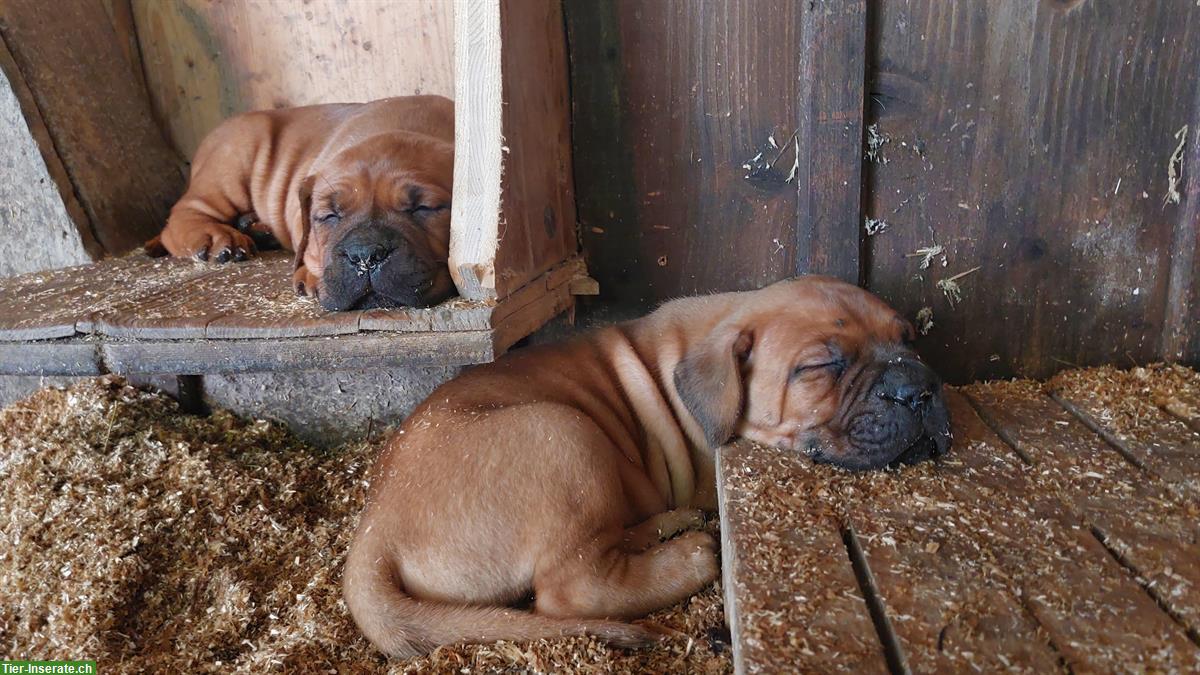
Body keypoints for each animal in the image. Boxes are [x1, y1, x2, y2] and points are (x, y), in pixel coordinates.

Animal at [144, 95, 453, 309]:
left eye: (424, 208)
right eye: (329, 216)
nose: (365, 256)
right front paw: (313, 275)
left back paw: (257, 228)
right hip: (231, 165)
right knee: (182, 215)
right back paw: (218, 238)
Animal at [343, 273, 950, 653]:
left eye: (909, 339)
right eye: (824, 365)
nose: (920, 390)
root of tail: (373, 534)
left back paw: (669, 524)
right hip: (565, 432)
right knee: (573, 588)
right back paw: (690, 555)